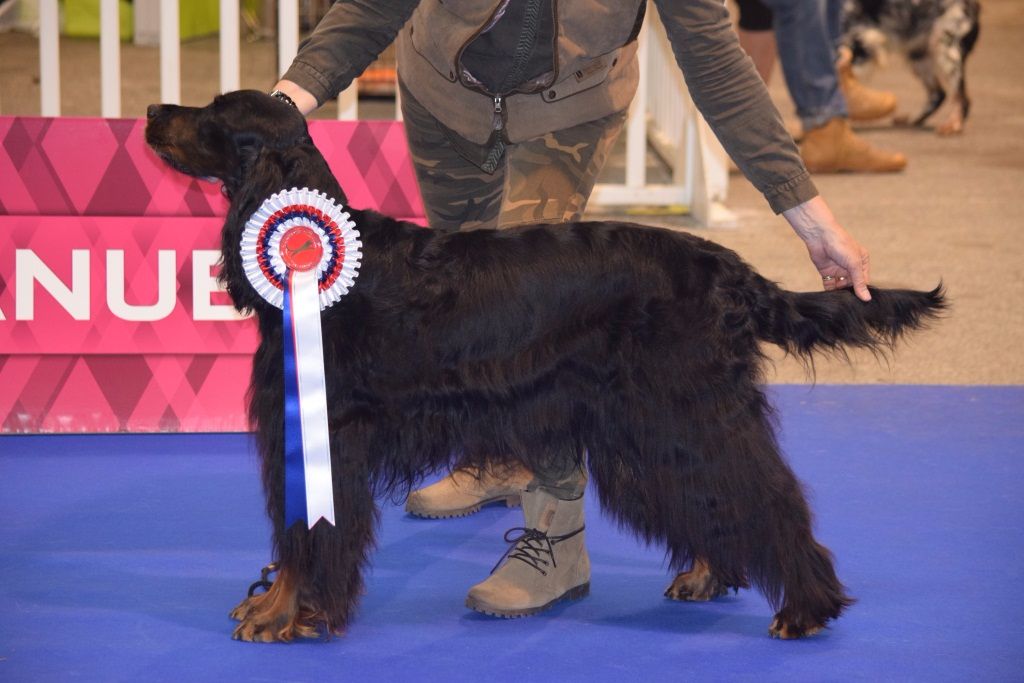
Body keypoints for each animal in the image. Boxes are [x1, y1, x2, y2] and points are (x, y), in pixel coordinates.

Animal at [144, 89, 942, 643]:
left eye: (213, 114)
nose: (151, 110)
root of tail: (726, 269)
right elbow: (294, 534)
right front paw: (275, 601)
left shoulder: (328, 430)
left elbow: (310, 534)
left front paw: (288, 614)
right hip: (654, 426)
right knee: (717, 494)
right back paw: (710, 575)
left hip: (682, 410)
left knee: (766, 493)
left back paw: (805, 607)